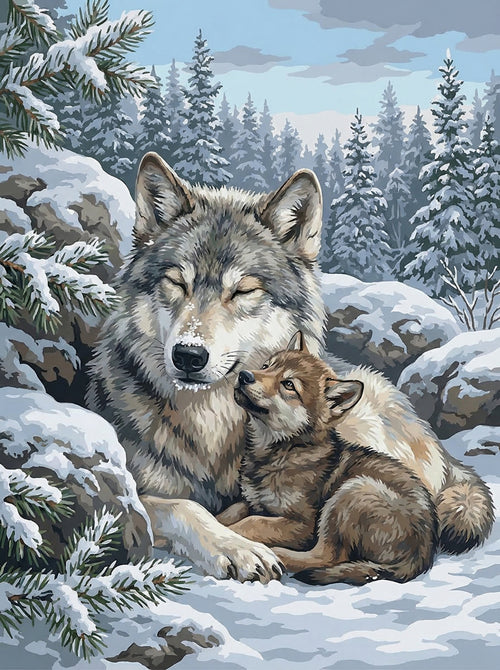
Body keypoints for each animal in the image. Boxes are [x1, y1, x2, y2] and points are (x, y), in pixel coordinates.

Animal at [218, 332, 438, 585]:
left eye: (289, 385)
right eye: (266, 366)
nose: (244, 376)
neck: (284, 451)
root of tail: (420, 557)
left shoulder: (302, 525)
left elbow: (252, 522)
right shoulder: (251, 502)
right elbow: (231, 512)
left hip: (352, 492)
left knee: (328, 556)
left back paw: (279, 555)